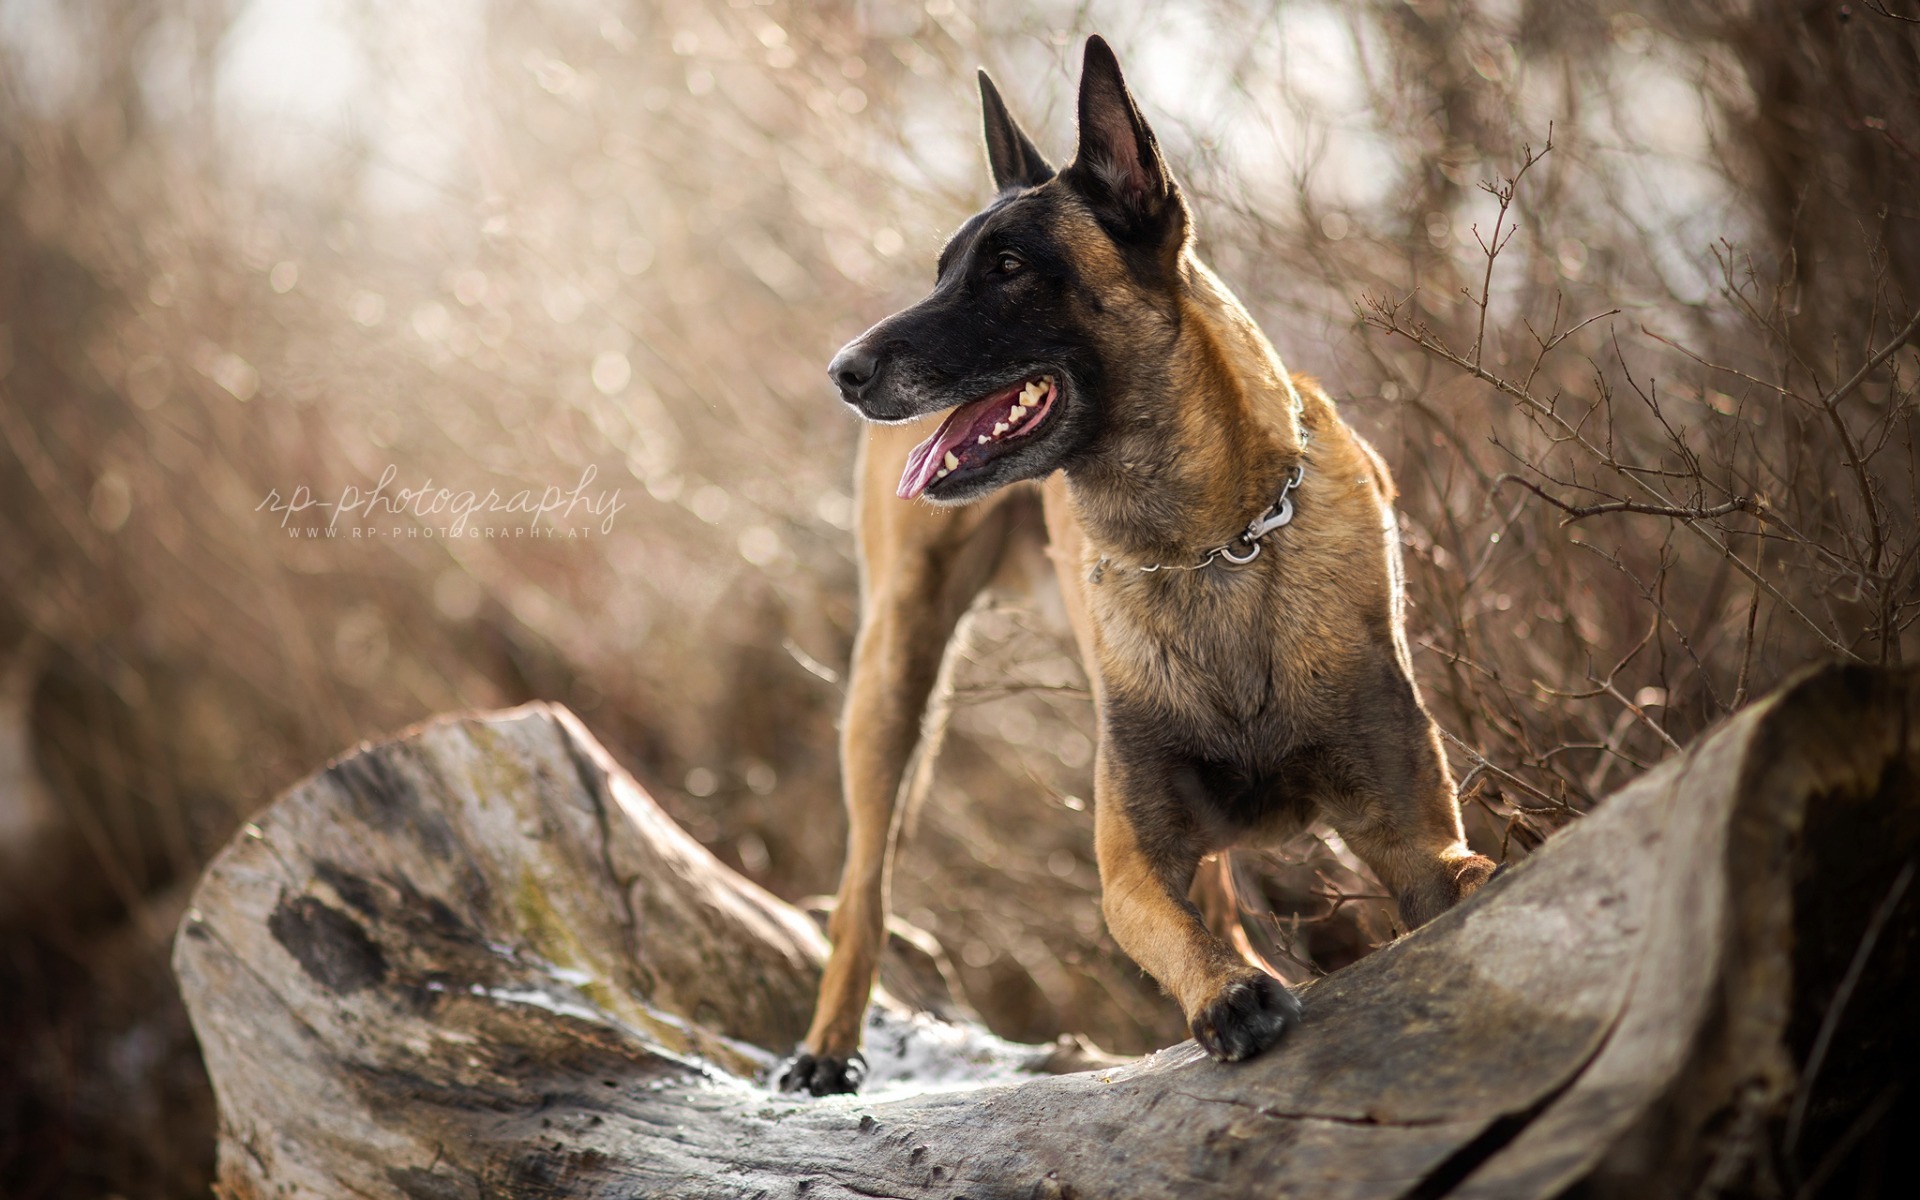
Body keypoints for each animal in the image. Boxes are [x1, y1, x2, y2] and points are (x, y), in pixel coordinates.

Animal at [779, 35, 1497, 1098]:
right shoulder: (1129, 864)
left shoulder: (1414, 838)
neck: (1214, 548)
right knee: (866, 876)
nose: (844, 371)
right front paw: (1226, 992)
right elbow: (1166, 925)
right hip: (894, 674)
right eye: (944, 271)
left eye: (1007, 267)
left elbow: (1464, 879)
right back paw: (828, 1045)